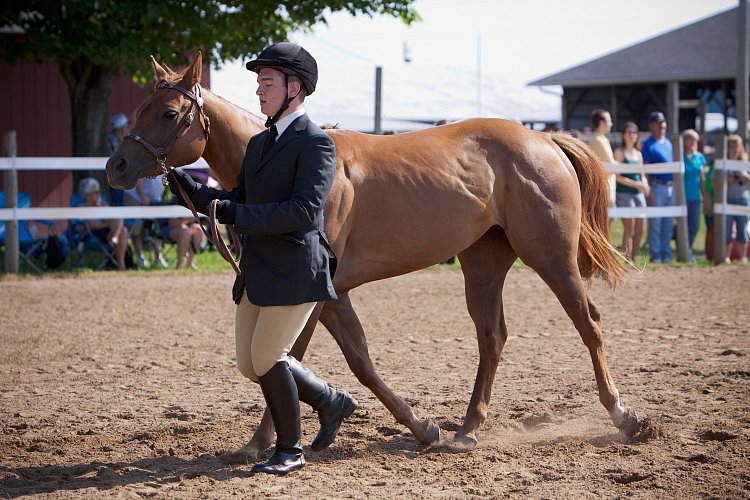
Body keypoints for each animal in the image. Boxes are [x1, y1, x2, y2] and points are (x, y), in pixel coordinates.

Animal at [108, 53, 644, 458]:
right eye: (140, 107)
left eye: (169, 113)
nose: (117, 166)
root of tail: (543, 139)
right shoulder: (331, 294)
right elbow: (357, 359)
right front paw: (420, 427)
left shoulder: (311, 294)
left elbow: (289, 356)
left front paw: (264, 441)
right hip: (482, 264)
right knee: (492, 338)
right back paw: (466, 430)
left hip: (550, 256)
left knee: (588, 323)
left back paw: (623, 415)